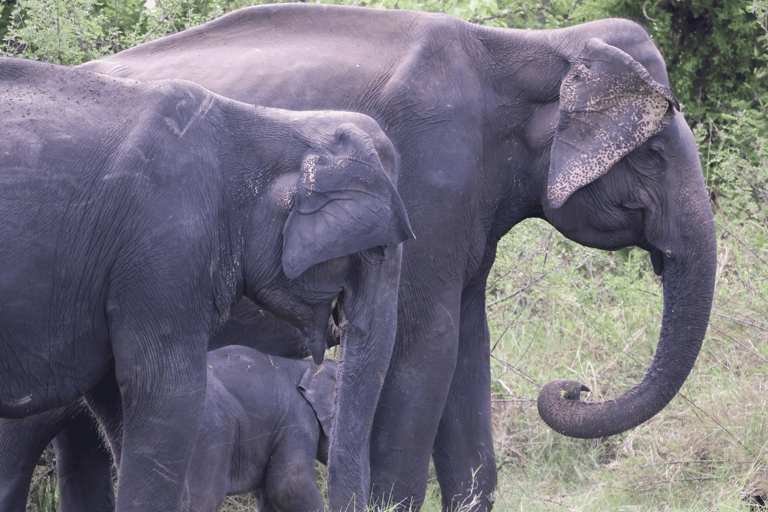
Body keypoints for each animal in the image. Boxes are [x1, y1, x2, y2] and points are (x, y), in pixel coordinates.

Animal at [79, 7, 719, 510]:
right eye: (653, 153)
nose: (574, 388)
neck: (531, 47)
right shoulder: (429, 178)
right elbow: (426, 346)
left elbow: (469, 347)